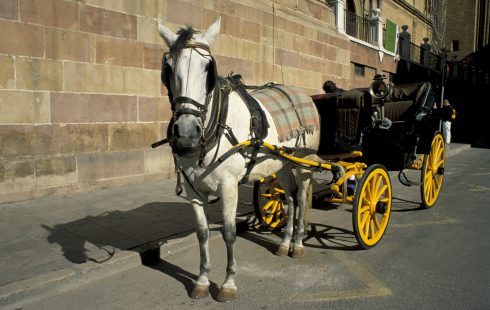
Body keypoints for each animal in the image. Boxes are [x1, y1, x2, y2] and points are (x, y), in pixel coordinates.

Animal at [157, 18, 324, 302]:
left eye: (208, 69)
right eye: (167, 68)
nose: (187, 132)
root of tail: (302, 94)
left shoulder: (228, 185)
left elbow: (229, 232)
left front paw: (228, 283)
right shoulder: (193, 189)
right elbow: (202, 233)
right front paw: (202, 280)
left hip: (304, 163)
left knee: (301, 198)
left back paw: (299, 244)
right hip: (281, 165)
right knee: (290, 199)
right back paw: (285, 243)